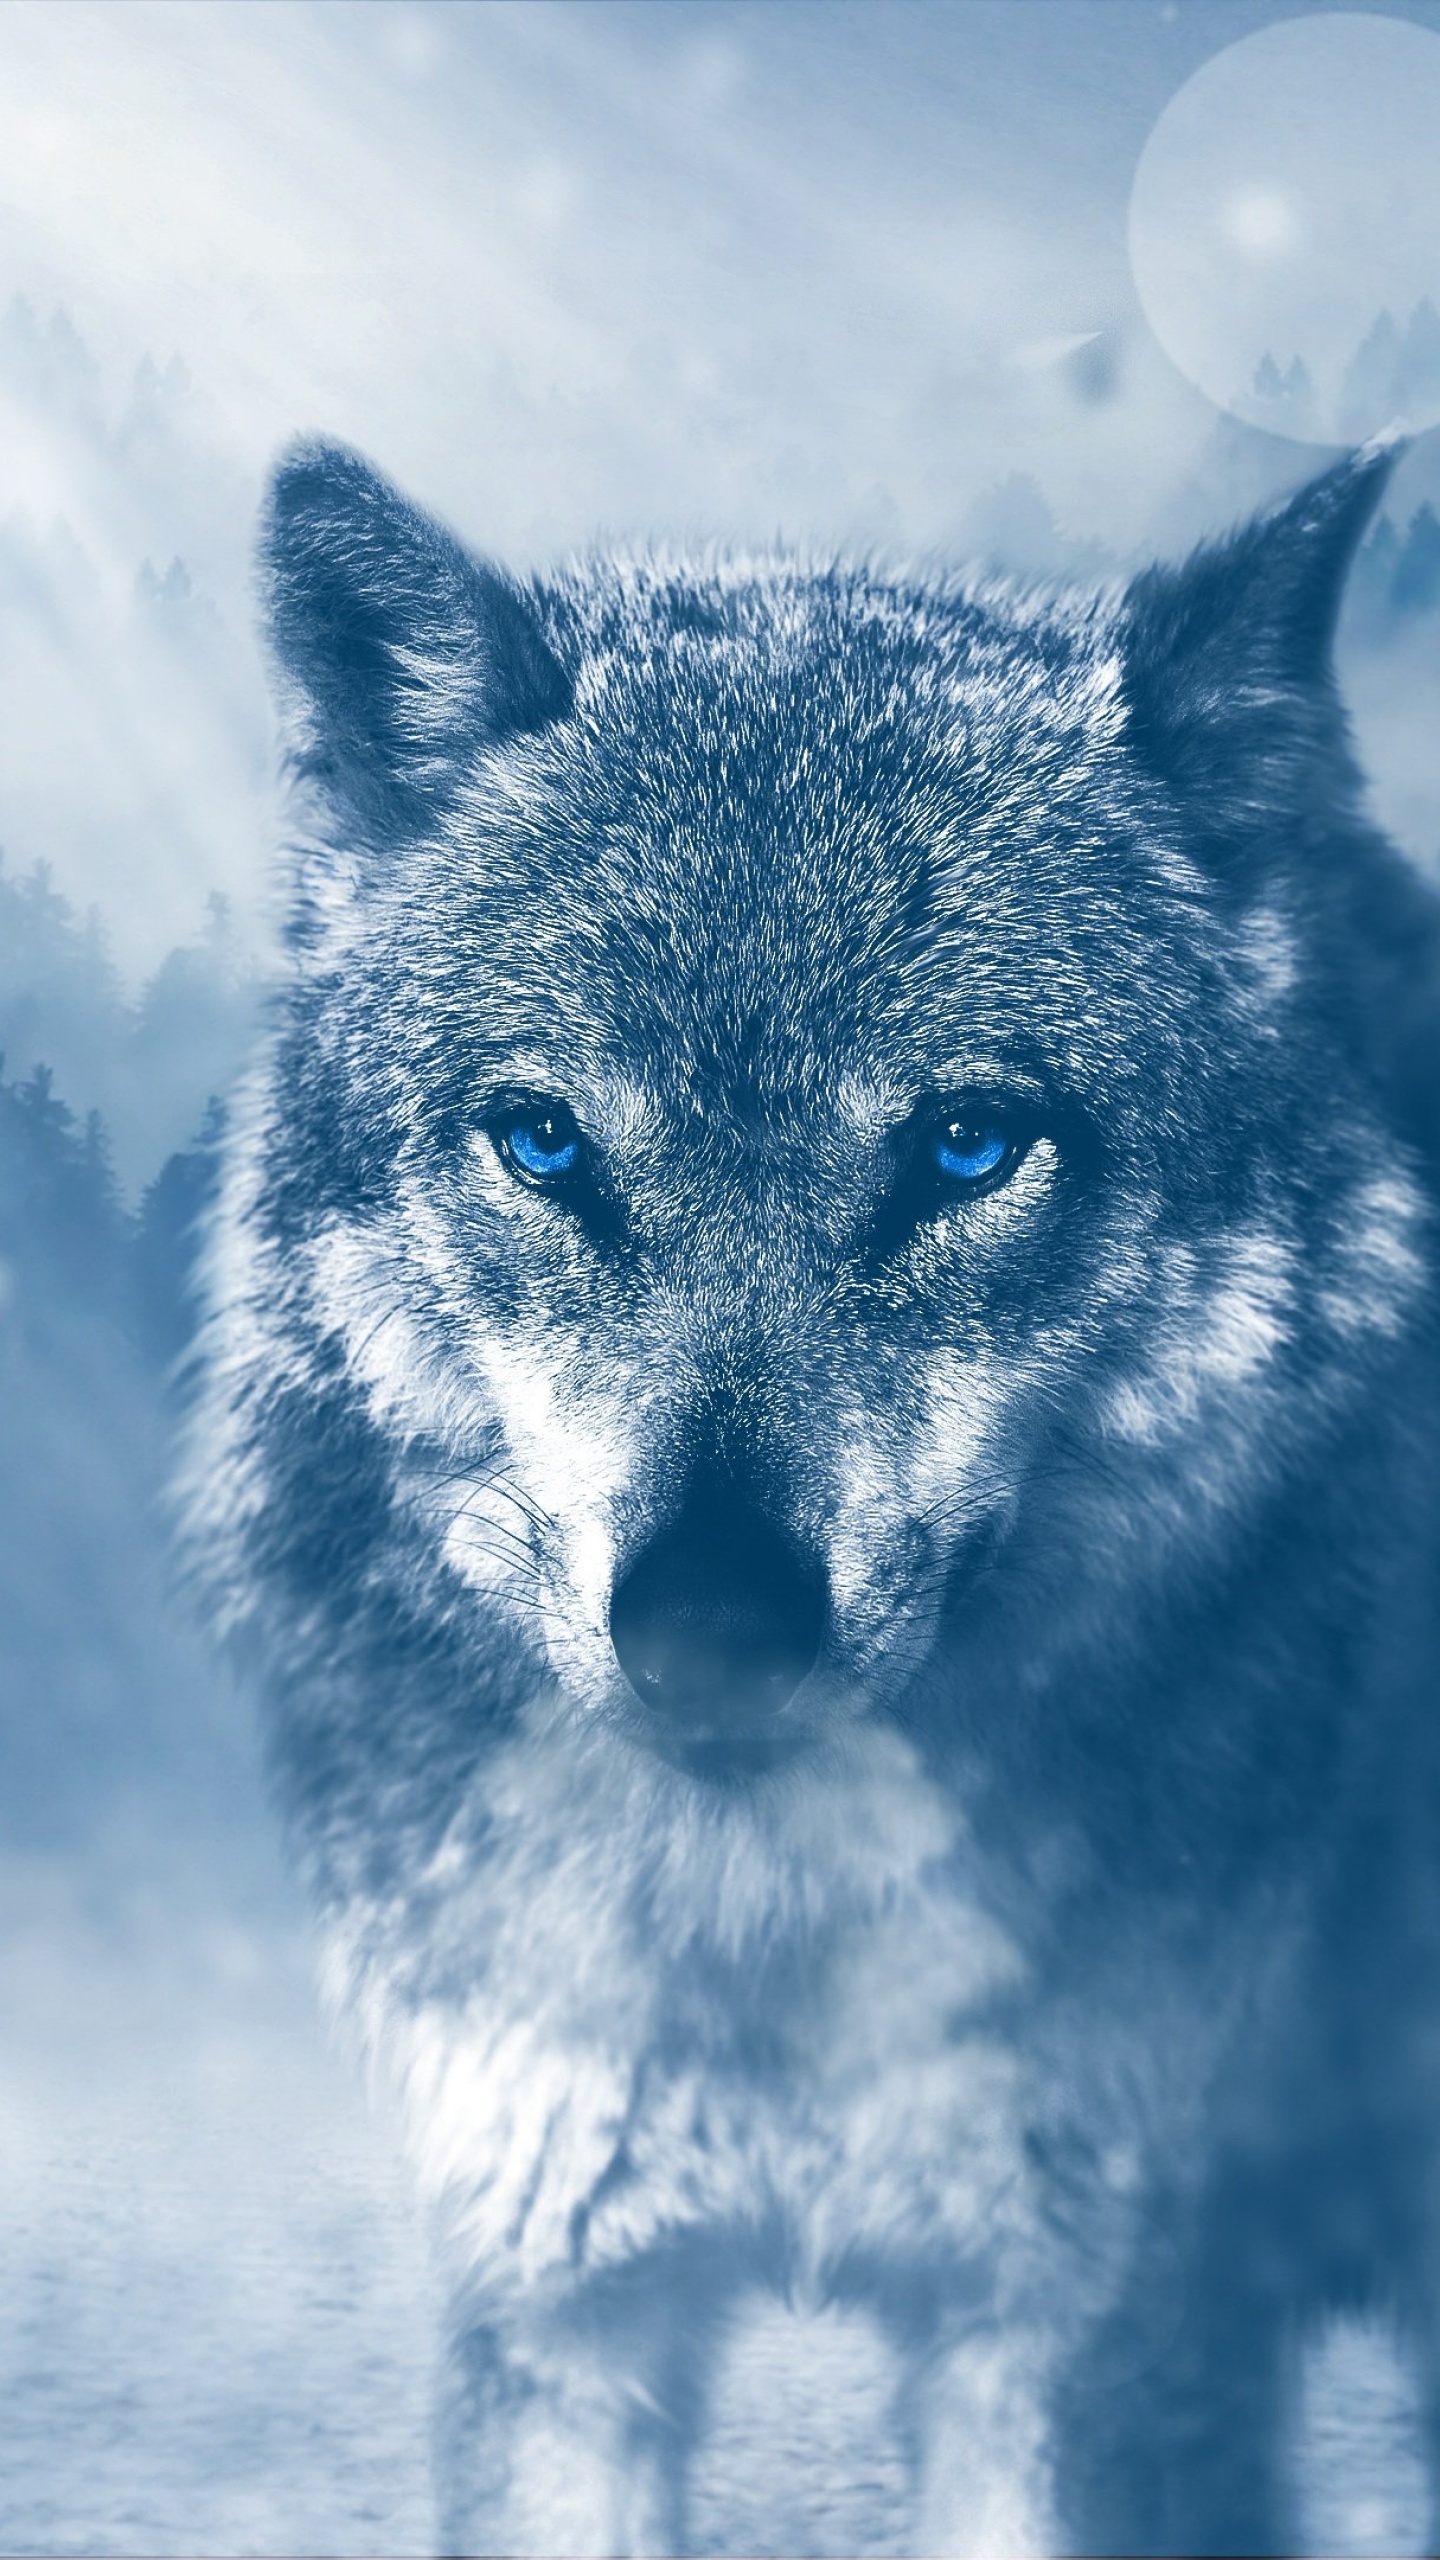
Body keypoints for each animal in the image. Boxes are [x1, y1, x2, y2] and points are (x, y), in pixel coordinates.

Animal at [185, 432, 1440, 2556]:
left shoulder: (1086, 2333)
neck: (762, 1938)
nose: (712, 1627)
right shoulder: (562, 2302)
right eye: (545, 1141)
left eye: (968, 1143)